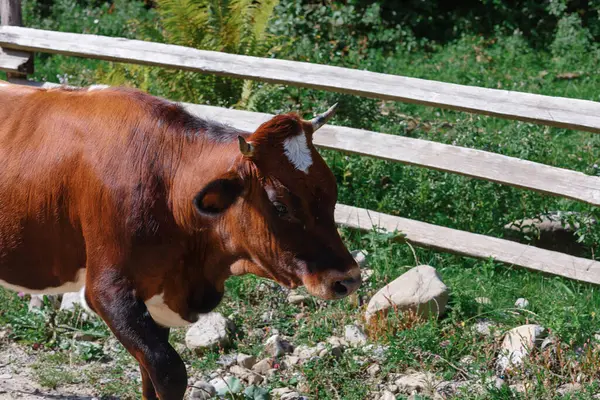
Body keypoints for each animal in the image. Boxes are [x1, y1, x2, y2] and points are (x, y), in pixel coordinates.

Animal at [0, 82, 360, 400]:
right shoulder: (108, 291)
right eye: (280, 204)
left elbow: (149, 378)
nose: (349, 279)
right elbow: (170, 372)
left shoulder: (157, 298)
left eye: (332, 193)